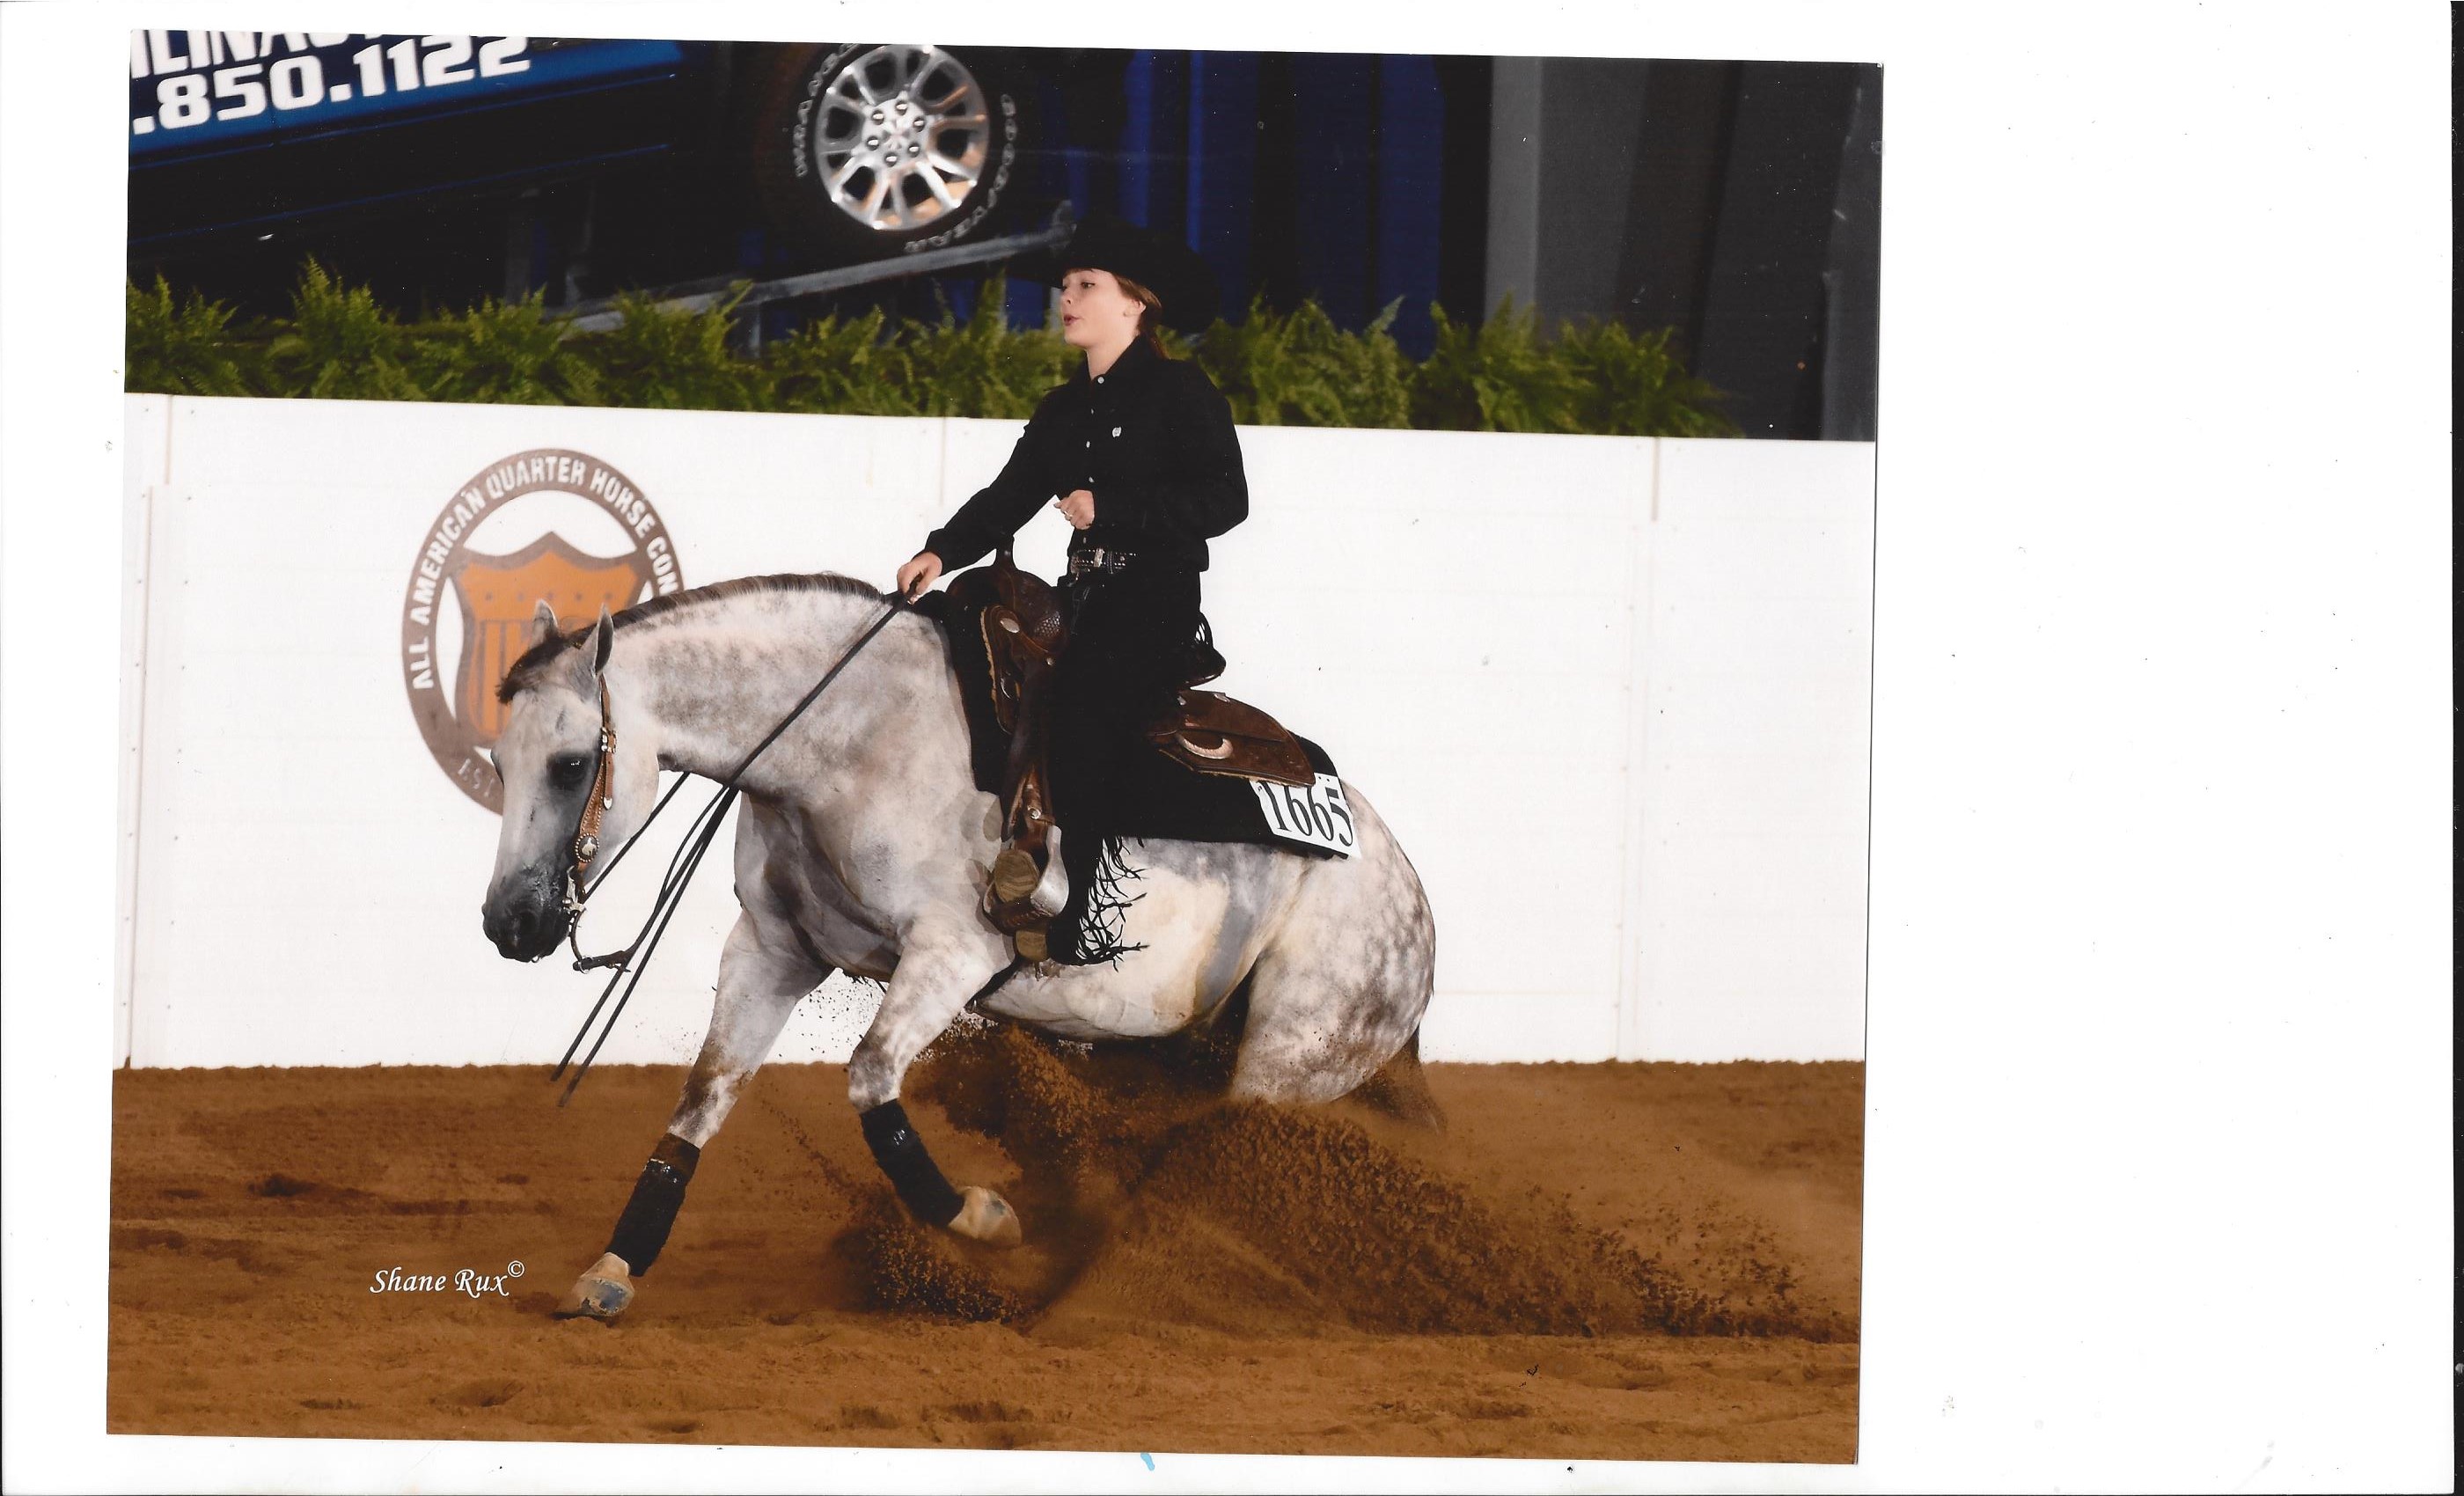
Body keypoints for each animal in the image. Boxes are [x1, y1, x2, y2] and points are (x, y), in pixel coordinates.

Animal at [477, 572, 1439, 1322]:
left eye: (570, 764)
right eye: (496, 761)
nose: (508, 924)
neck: (850, 740)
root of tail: (1413, 904)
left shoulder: (951, 956)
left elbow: (871, 1081)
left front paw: (983, 1220)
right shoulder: (772, 951)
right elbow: (702, 1098)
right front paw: (612, 1269)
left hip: (1289, 1060)